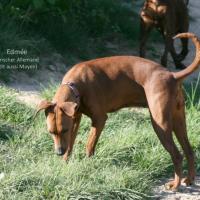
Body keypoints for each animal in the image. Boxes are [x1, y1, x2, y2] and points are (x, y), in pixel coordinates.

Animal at [36, 33, 199, 191]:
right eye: (51, 132)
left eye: (64, 130)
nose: (58, 152)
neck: (75, 85)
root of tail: (172, 75)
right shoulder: (75, 119)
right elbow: (70, 143)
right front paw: (65, 162)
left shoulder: (99, 119)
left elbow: (89, 145)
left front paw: (88, 165)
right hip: (178, 122)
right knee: (189, 151)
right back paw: (189, 179)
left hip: (161, 125)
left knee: (177, 155)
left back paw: (175, 185)